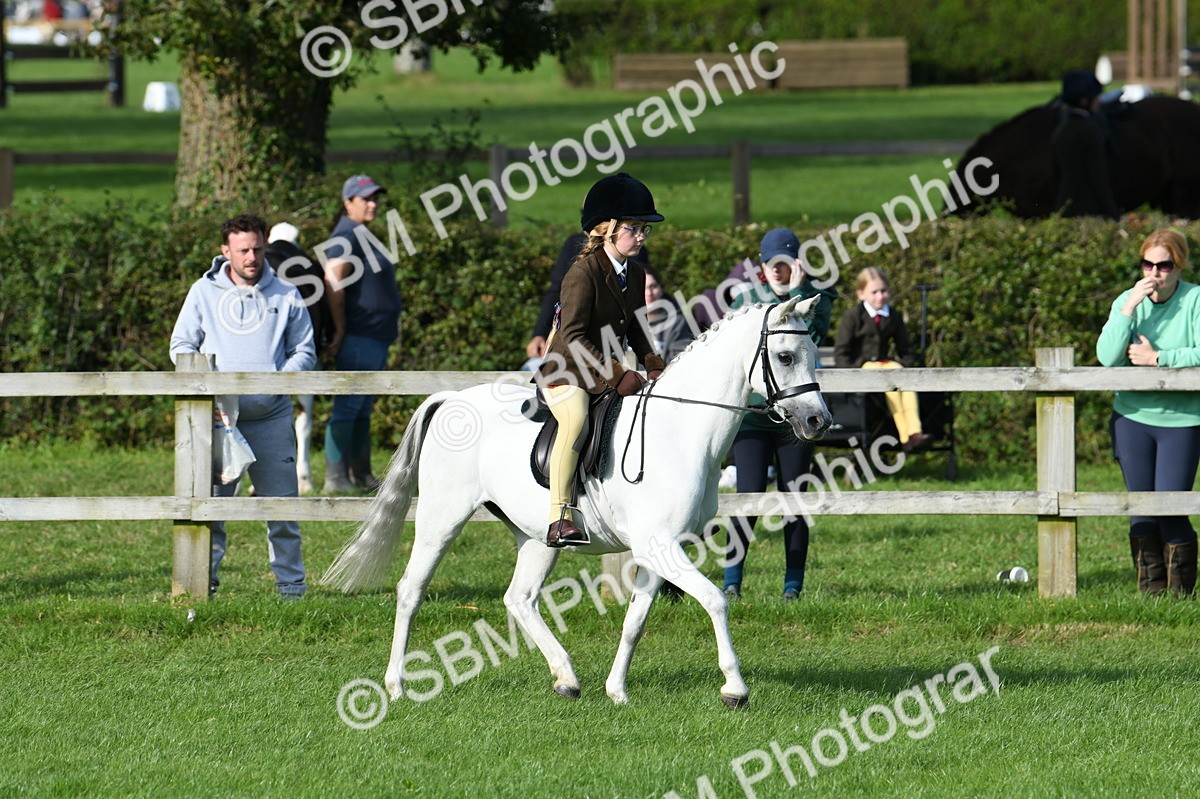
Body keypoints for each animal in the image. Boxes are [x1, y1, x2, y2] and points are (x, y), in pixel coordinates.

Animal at [321, 295, 832, 707]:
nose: (818, 422)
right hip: (441, 519)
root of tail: (449, 399)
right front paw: (734, 689)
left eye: (814, 356)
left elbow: (635, 621)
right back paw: (396, 686)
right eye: (785, 356)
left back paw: (566, 678)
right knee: (411, 590)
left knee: (520, 598)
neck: (679, 430)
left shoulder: (657, 550)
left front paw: (617, 691)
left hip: (537, 538)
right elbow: (714, 601)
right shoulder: (660, 547)